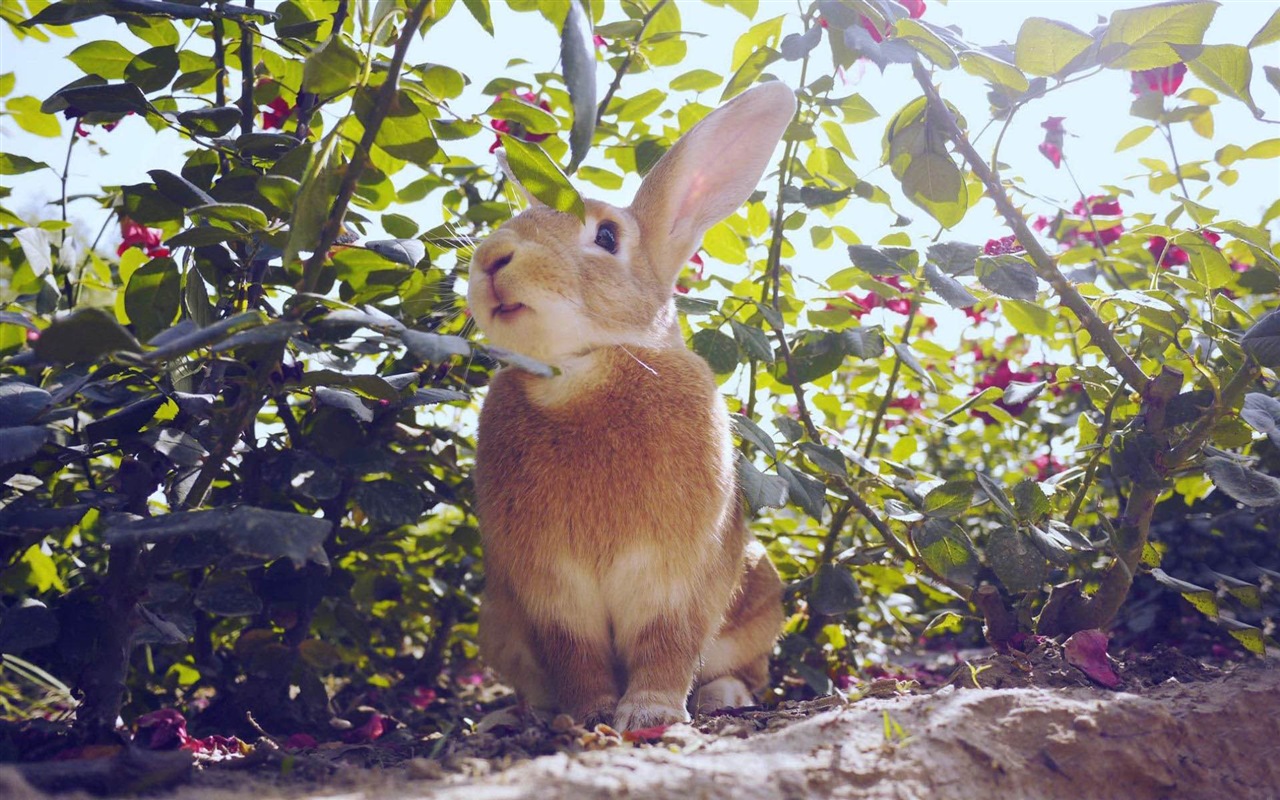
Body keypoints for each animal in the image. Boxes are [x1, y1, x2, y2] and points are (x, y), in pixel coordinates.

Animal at [465, 81, 793, 732]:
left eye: (607, 237)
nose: (491, 259)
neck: (578, 375)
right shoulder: (553, 590)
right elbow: (576, 654)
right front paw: (590, 713)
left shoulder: (674, 577)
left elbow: (666, 644)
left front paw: (648, 714)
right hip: (497, 618)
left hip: (758, 594)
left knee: (744, 670)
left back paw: (721, 697)